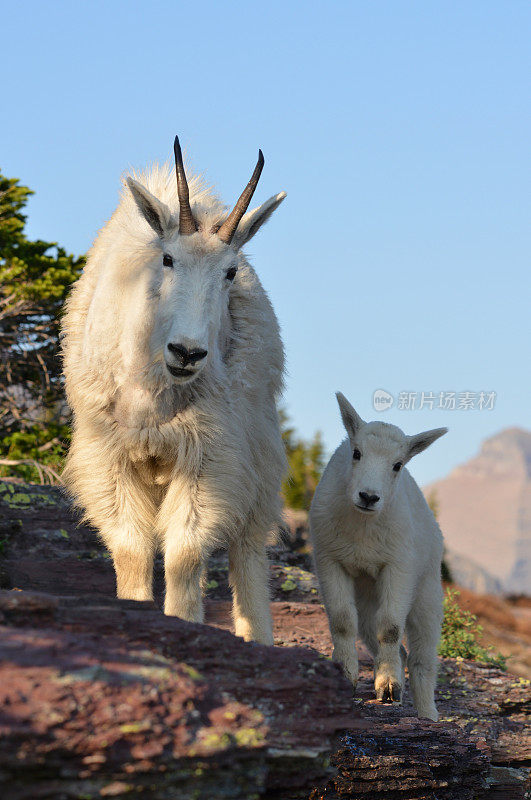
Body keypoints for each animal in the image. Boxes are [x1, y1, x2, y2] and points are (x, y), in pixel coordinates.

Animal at [62, 136, 288, 644]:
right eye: (168, 260)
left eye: (229, 272)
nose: (187, 352)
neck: (154, 394)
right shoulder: (109, 455)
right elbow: (131, 547)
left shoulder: (208, 455)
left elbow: (185, 551)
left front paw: (183, 622)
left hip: (259, 452)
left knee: (248, 549)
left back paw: (258, 638)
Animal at [310, 394, 446, 720]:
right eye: (356, 452)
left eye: (397, 465)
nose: (369, 497)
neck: (363, 527)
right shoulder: (330, 560)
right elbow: (342, 620)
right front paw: (347, 675)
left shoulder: (398, 567)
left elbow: (392, 627)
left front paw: (388, 685)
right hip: (367, 601)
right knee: (394, 647)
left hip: (426, 593)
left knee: (422, 659)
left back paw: (427, 714)